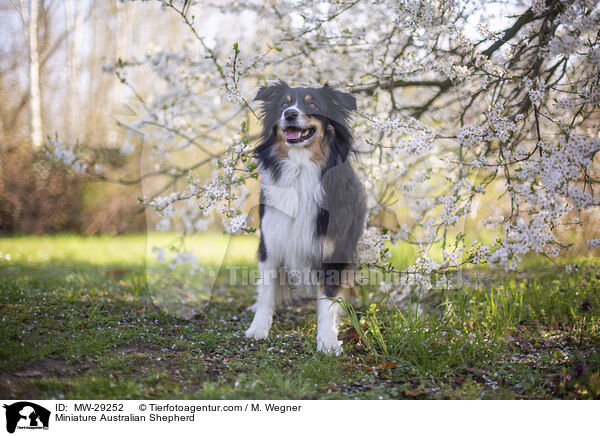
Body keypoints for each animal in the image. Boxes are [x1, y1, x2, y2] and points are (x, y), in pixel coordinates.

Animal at [245, 81, 366, 354]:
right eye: (283, 104)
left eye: (313, 105)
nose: (289, 114)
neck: (300, 168)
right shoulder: (271, 241)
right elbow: (266, 292)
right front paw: (258, 328)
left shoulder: (333, 251)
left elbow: (328, 303)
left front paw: (328, 341)